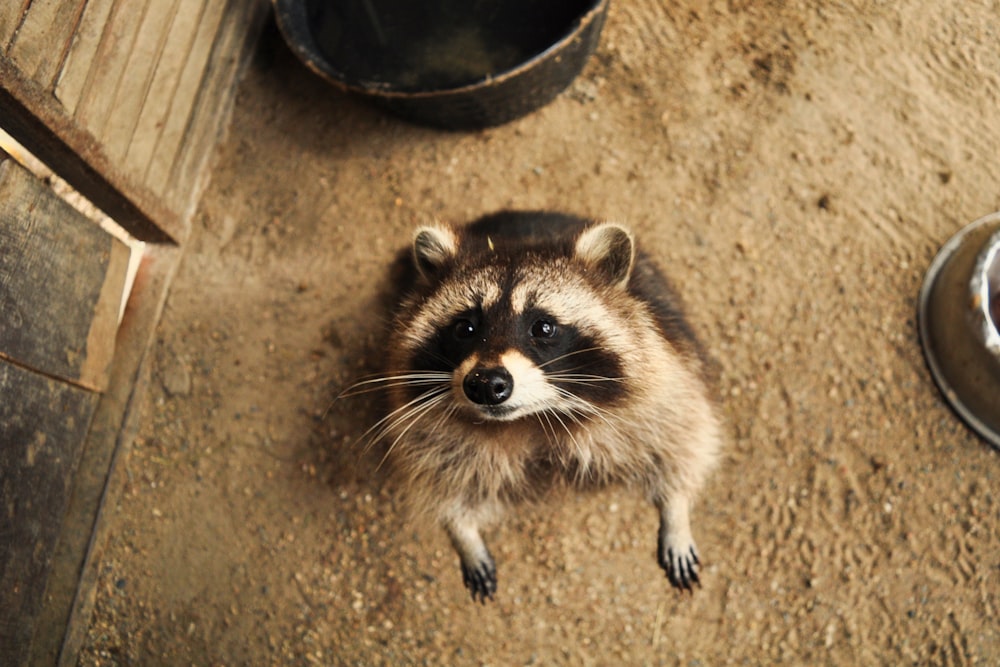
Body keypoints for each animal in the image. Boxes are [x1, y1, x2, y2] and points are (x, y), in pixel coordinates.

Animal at [368, 211, 720, 604]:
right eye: (465, 328)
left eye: (544, 327)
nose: (486, 384)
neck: (533, 420)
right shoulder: (426, 422)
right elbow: (441, 472)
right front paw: (462, 532)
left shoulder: (664, 368)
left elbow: (680, 431)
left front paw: (676, 509)